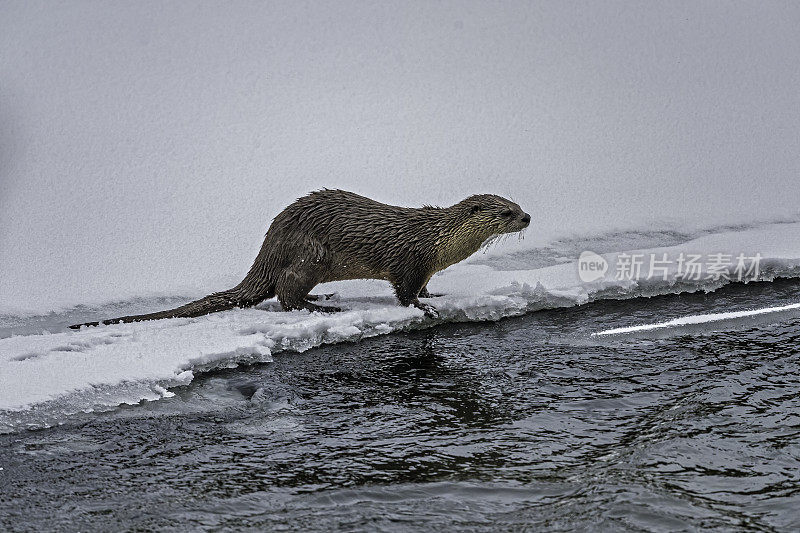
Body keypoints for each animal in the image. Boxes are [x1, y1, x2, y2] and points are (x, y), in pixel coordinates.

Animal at [70, 189, 532, 326]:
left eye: (517, 203)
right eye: (505, 213)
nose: (528, 216)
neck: (438, 241)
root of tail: (269, 243)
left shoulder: (426, 265)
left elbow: (425, 285)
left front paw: (435, 296)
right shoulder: (409, 260)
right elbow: (403, 292)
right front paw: (423, 308)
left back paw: (322, 300)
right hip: (311, 254)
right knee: (284, 293)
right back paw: (320, 308)